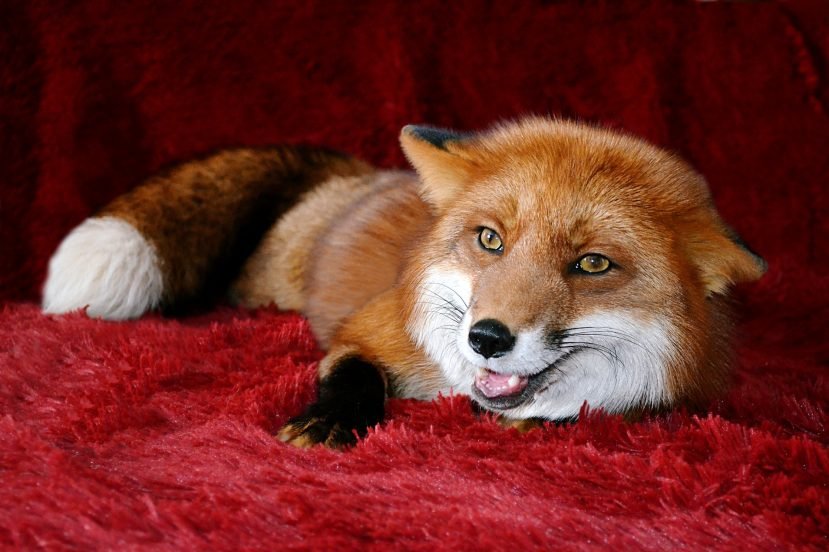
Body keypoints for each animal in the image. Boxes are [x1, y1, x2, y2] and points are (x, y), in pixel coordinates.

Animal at [42, 117, 766, 447]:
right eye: (490, 240)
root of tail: (356, 175)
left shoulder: (676, 392)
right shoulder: (371, 329)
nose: (487, 338)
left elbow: (599, 410)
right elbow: (356, 373)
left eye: (592, 264)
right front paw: (329, 421)